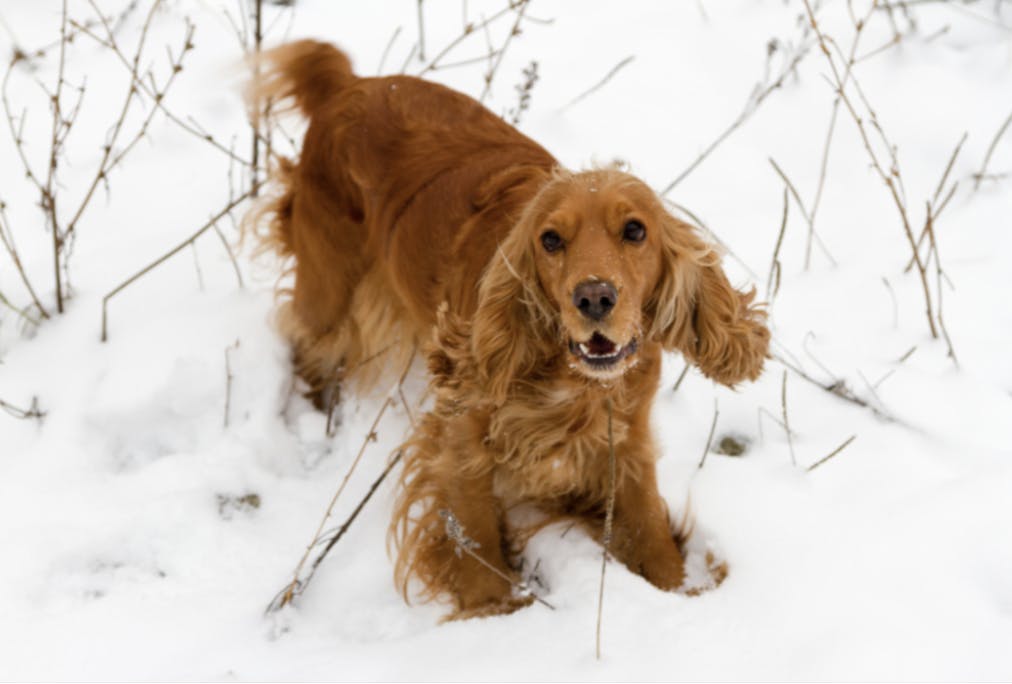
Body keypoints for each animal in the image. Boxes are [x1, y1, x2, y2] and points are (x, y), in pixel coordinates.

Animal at [250, 41, 765, 619]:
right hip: (329, 283)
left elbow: (648, 528)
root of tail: (347, 83)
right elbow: (473, 532)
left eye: (635, 230)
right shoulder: (461, 433)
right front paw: (491, 611)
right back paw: (313, 426)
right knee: (307, 350)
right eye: (550, 240)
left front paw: (679, 593)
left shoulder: (623, 441)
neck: (571, 379)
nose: (593, 297)